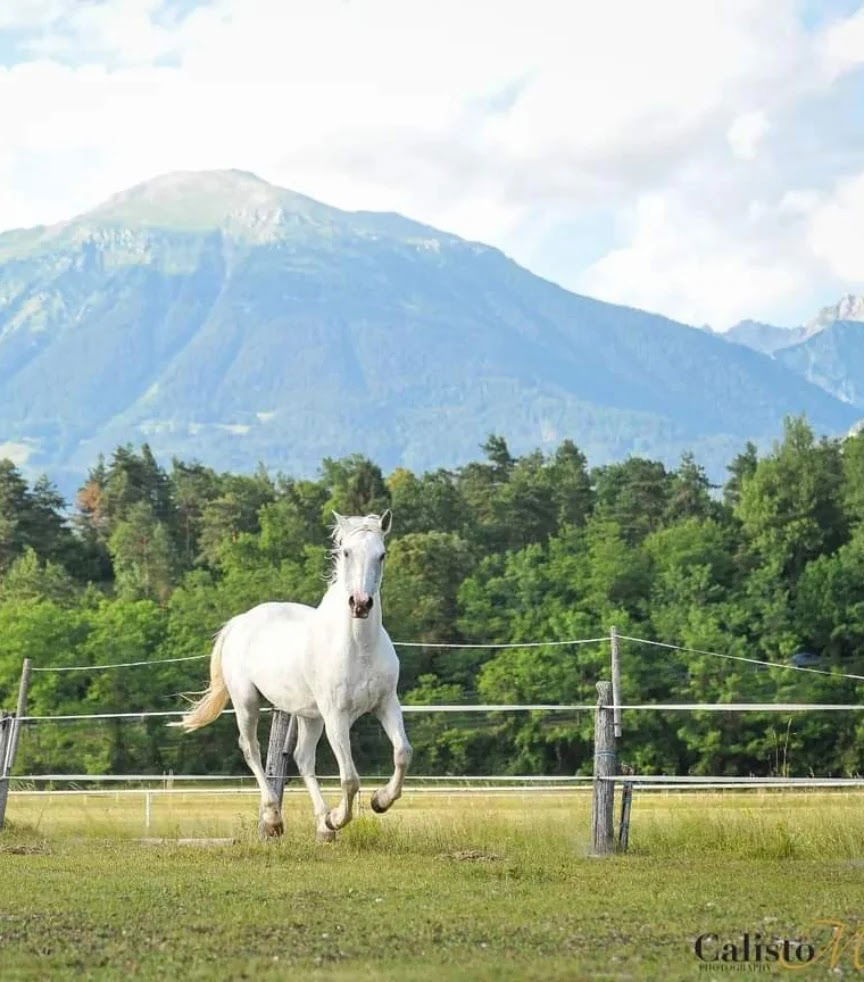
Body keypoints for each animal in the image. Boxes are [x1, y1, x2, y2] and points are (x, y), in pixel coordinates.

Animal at [177, 512, 410, 840]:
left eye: (382, 554)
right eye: (346, 552)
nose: (360, 604)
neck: (359, 646)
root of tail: (241, 621)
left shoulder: (386, 704)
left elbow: (402, 753)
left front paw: (380, 801)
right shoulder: (336, 715)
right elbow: (350, 779)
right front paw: (338, 818)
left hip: (307, 715)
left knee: (301, 757)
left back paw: (322, 823)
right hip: (247, 702)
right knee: (251, 748)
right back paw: (275, 818)